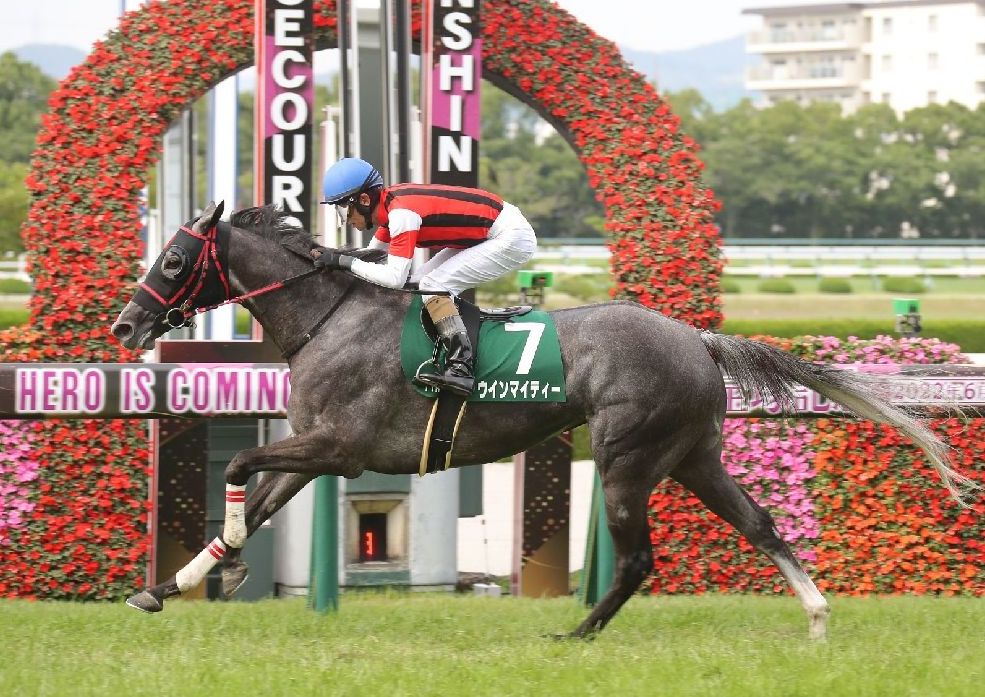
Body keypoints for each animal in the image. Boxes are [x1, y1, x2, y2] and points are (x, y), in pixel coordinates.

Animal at [110, 201, 975, 640]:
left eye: (173, 262)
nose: (124, 325)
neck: (331, 318)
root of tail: (695, 336)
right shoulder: (311, 448)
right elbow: (253, 500)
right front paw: (170, 585)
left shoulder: (341, 449)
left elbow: (235, 469)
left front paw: (215, 571)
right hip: (694, 456)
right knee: (759, 523)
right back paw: (817, 614)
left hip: (627, 458)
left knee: (637, 558)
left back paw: (577, 632)